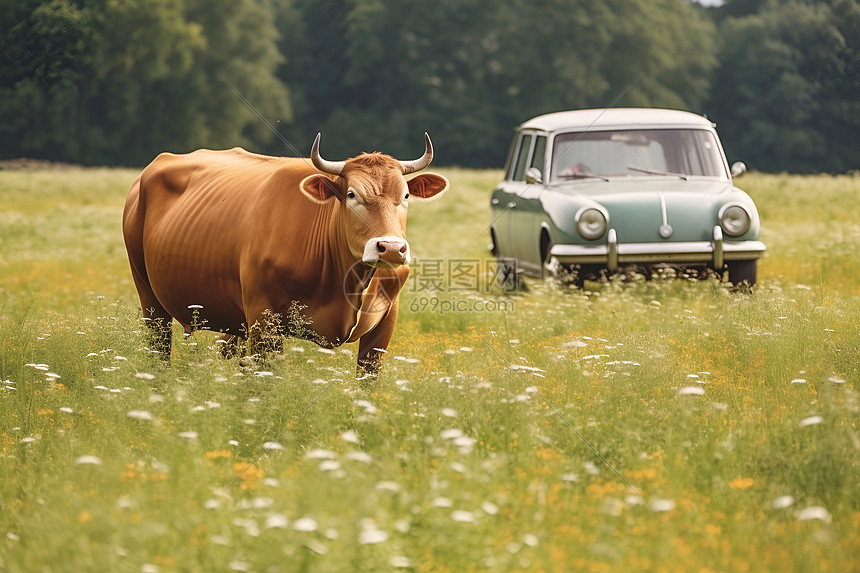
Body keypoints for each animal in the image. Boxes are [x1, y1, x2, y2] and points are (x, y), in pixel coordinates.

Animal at [124, 134, 454, 376]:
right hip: (150, 298)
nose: (391, 248)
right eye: (351, 195)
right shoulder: (263, 319)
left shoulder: (385, 324)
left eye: (406, 196)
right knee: (158, 350)